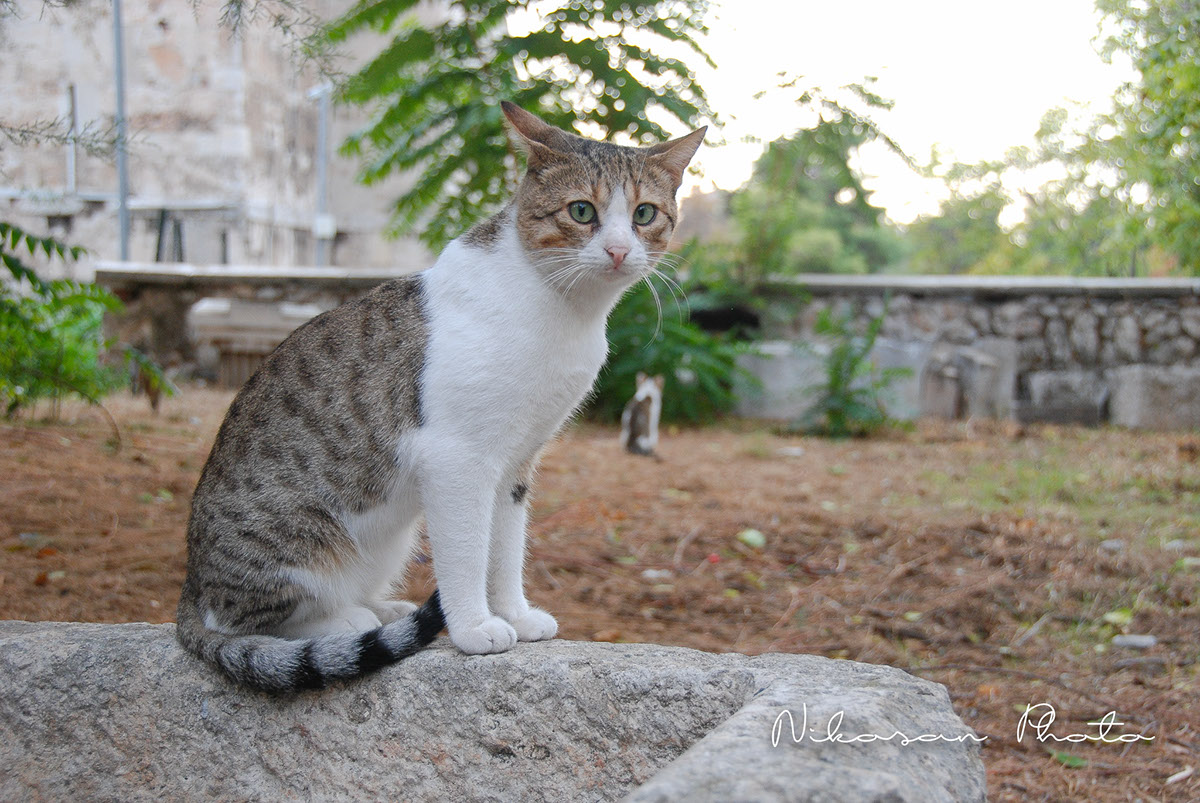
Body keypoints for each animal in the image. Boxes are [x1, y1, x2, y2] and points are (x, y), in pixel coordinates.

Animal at [176, 100, 700, 691]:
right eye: (582, 211)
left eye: (644, 214)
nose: (617, 250)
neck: (565, 313)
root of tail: (191, 585)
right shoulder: (458, 459)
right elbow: (468, 553)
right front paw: (473, 626)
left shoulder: (517, 464)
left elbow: (506, 549)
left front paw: (515, 613)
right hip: (299, 546)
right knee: (253, 622)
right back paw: (348, 620)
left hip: (389, 541)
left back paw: (382, 608)